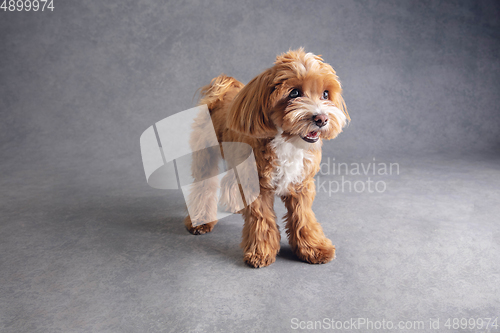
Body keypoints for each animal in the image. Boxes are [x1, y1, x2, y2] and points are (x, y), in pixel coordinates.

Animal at [182, 48, 350, 268]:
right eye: (294, 93)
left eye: (325, 94)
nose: (321, 119)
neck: (287, 141)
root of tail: (222, 91)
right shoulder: (257, 186)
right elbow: (262, 220)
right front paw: (260, 252)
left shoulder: (301, 184)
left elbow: (304, 217)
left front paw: (313, 247)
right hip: (206, 155)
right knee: (204, 186)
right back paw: (201, 220)